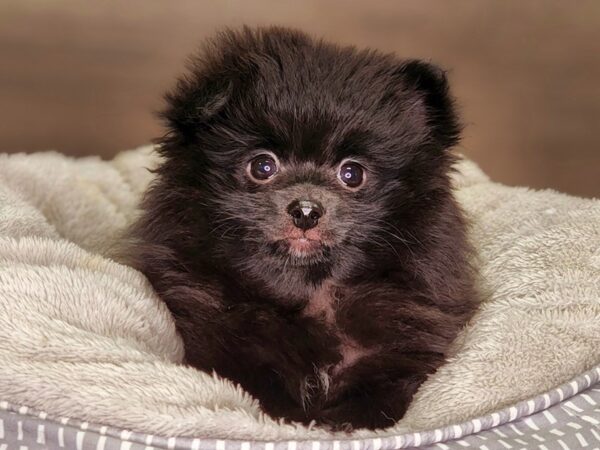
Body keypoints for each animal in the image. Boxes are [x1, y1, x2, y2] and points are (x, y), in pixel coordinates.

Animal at [126, 26, 478, 430]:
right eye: (262, 166)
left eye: (352, 174)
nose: (306, 210)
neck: (310, 292)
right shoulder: (220, 336)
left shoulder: (402, 343)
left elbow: (375, 397)